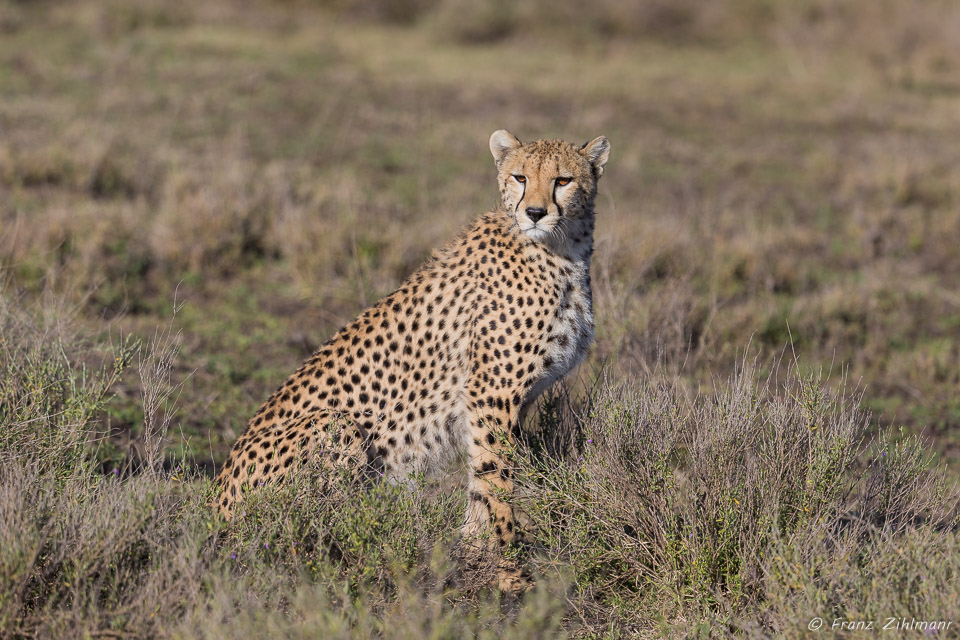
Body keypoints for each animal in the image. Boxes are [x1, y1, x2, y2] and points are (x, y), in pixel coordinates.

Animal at [214, 129, 612, 592]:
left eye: (563, 180)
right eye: (520, 177)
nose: (534, 212)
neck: (562, 250)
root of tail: (211, 507)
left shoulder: (505, 399)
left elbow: (482, 479)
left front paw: (473, 555)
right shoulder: (491, 394)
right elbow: (499, 483)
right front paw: (512, 574)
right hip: (335, 425)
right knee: (303, 531)